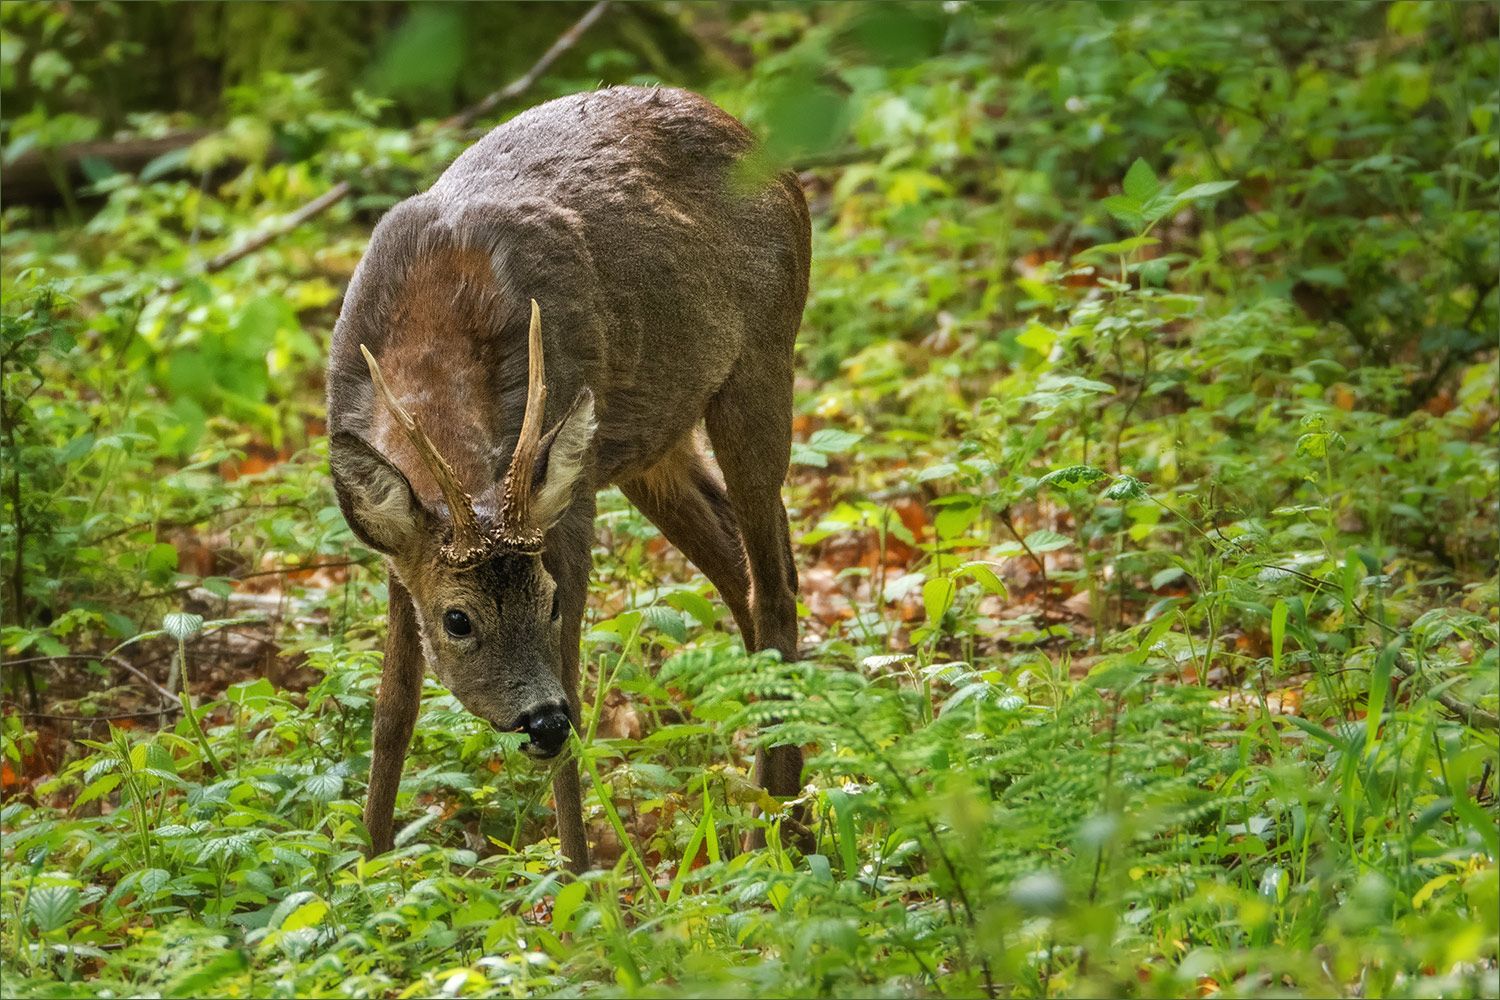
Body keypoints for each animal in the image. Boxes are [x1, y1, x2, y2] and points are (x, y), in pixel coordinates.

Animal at [328, 88, 816, 875]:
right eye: (457, 619)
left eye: (549, 600)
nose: (542, 720)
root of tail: (756, 141)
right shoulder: (401, 546)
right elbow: (393, 705)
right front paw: (368, 867)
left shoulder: (569, 502)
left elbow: (576, 679)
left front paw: (581, 876)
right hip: (651, 442)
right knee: (741, 571)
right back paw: (780, 814)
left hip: (761, 363)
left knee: (775, 587)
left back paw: (774, 834)